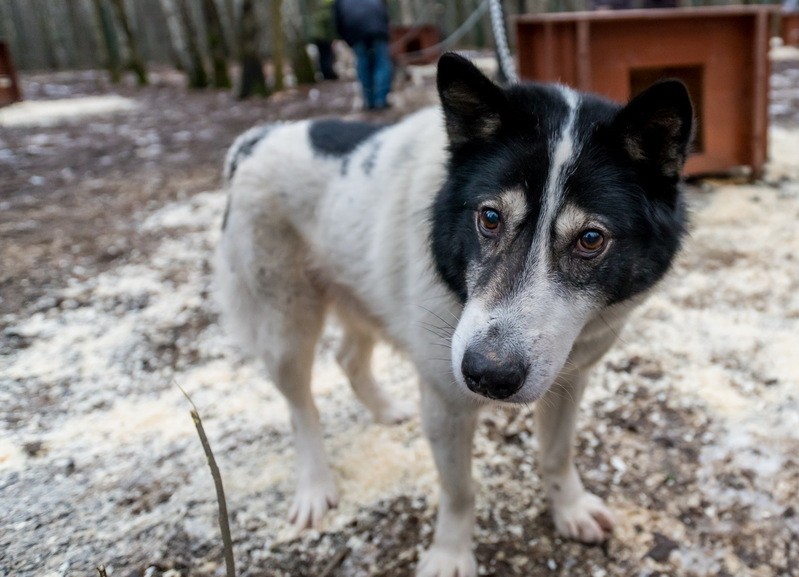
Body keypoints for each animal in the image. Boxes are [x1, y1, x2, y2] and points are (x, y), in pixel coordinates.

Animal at [214, 54, 692, 576]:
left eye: (590, 239)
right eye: (489, 217)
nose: (489, 375)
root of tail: (257, 139)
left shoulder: (570, 380)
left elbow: (557, 454)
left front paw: (570, 508)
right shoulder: (447, 401)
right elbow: (459, 488)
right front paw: (450, 556)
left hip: (364, 295)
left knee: (348, 358)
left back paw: (387, 411)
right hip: (286, 326)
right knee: (301, 408)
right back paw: (315, 487)